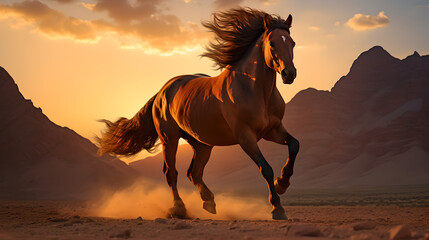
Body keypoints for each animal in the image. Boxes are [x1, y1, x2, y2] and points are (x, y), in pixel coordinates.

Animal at [98, 7, 298, 220]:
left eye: (292, 43)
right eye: (272, 43)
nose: (289, 74)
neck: (255, 91)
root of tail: (162, 91)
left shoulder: (272, 130)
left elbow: (294, 145)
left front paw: (282, 183)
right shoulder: (246, 137)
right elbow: (266, 169)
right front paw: (277, 208)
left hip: (202, 144)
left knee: (194, 173)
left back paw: (209, 201)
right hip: (170, 139)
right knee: (172, 173)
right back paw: (179, 209)